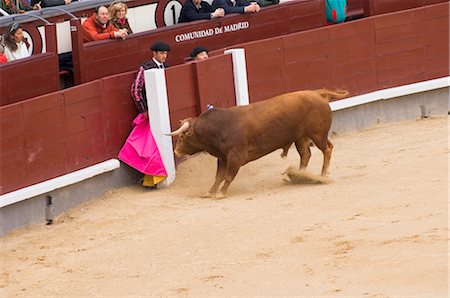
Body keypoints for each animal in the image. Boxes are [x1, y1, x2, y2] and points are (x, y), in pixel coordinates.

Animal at [169, 88, 348, 198]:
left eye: (182, 137)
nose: (176, 152)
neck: (218, 127)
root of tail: (318, 94)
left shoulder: (235, 156)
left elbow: (227, 175)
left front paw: (221, 193)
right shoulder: (223, 158)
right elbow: (218, 176)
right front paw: (210, 192)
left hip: (317, 134)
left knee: (327, 149)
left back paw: (322, 174)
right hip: (301, 137)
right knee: (305, 154)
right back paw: (300, 175)